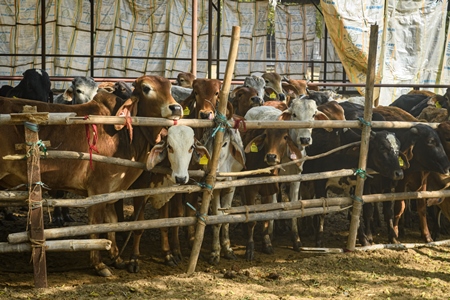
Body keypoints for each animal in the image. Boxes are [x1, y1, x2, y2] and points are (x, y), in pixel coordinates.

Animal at [0, 75, 185, 276]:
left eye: (170, 87)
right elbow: (96, 225)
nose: (176, 108)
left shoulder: (112, 191)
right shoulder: (98, 189)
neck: (124, 136)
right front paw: (99, 264)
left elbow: (112, 222)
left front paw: (117, 258)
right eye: (146, 88)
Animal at [127, 125, 210, 272]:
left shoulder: (165, 195)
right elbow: (139, 227)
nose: (181, 178)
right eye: (170, 147)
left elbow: (165, 224)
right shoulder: (139, 195)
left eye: (191, 147)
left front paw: (168, 255)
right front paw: (134, 258)